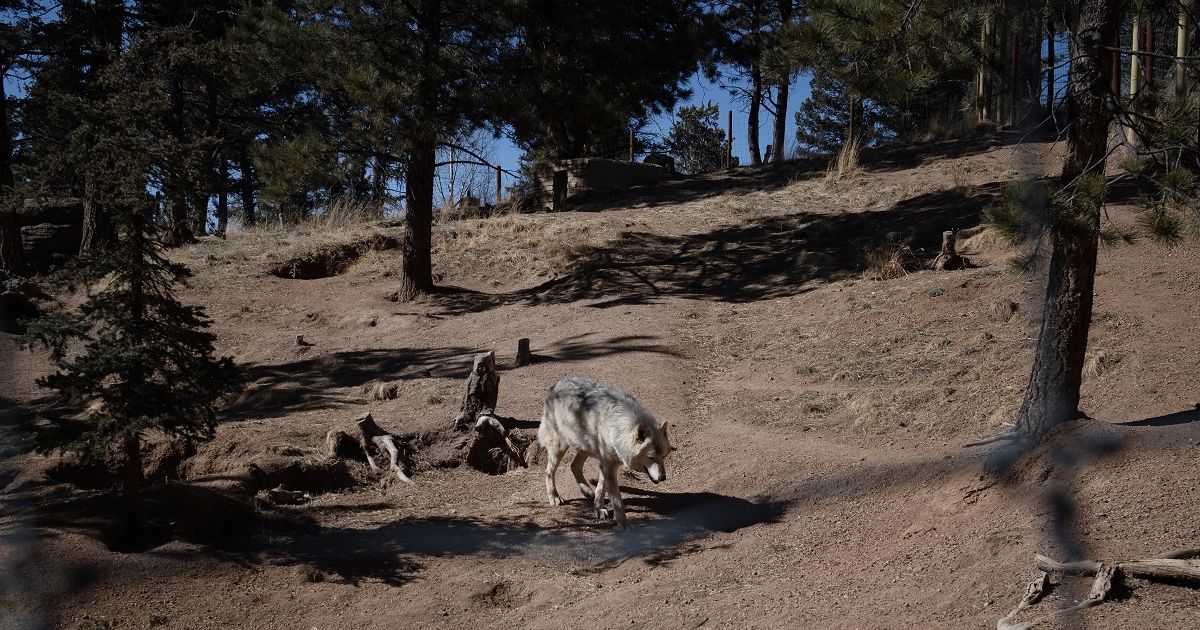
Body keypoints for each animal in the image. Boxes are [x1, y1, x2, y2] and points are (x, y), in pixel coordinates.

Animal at [537, 376, 672, 528]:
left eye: (664, 456)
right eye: (651, 457)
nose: (663, 477)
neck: (618, 428)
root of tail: (556, 384)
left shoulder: (606, 465)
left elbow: (601, 488)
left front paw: (598, 509)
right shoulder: (608, 466)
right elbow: (617, 501)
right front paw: (624, 525)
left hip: (585, 447)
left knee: (574, 466)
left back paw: (587, 491)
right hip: (560, 448)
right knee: (549, 471)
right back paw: (554, 497)